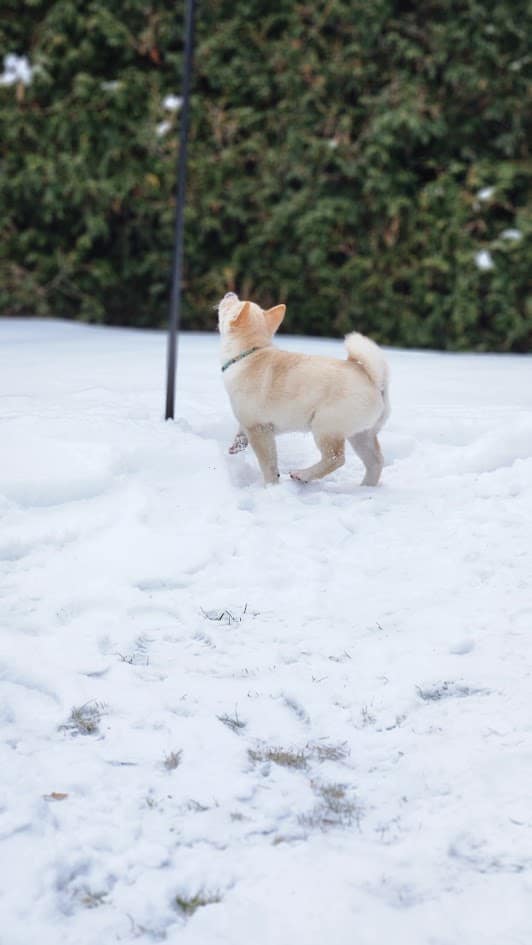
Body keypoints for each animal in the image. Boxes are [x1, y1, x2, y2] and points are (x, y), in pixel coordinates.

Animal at [218, 292, 388, 486]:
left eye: (231, 304)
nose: (230, 293)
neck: (249, 354)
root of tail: (373, 381)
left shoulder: (259, 429)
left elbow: (268, 464)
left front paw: (271, 486)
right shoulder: (251, 424)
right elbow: (241, 434)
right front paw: (236, 446)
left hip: (325, 428)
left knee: (335, 458)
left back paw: (303, 475)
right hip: (361, 435)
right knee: (375, 461)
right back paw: (366, 487)